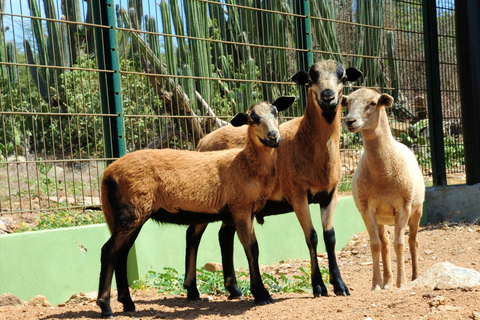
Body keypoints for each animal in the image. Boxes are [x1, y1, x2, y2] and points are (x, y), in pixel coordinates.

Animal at [95, 97, 294, 318]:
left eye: (275, 112)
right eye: (252, 119)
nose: (273, 137)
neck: (247, 163)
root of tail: (108, 174)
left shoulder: (248, 211)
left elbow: (250, 248)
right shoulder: (241, 208)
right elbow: (252, 248)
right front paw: (261, 295)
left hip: (127, 216)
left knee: (121, 254)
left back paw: (128, 303)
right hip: (132, 212)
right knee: (108, 251)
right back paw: (106, 307)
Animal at [185, 59, 364, 300]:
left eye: (343, 77)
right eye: (311, 79)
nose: (328, 97)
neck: (305, 140)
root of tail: (202, 141)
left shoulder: (330, 194)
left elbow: (330, 237)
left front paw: (340, 285)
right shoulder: (297, 195)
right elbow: (312, 236)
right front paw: (318, 287)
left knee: (224, 236)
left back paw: (234, 289)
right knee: (193, 234)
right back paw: (192, 290)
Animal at [344, 87, 426, 290]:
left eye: (373, 103)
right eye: (348, 103)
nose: (349, 121)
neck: (383, 176)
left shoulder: (403, 206)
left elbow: (400, 244)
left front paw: (402, 282)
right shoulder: (366, 208)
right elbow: (375, 244)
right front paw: (376, 284)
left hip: (417, 210)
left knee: (413, 242)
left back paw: (414, 277)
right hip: (381, 216)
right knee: (385, 243)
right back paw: (387, 281)